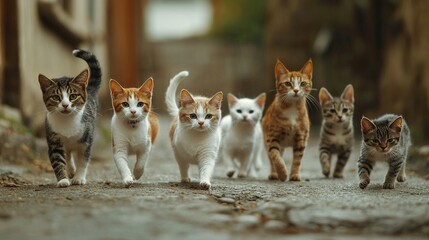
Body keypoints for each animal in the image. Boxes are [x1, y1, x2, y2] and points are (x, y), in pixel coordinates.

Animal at [36, 49, 100, 188]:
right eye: (56, 97)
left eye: (73, 96)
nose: (65, 105)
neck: (67, 122)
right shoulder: (54, 139)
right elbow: (58, 161)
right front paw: (63, 180)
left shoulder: (87, 139)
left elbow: (83, 159)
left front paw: (79, 178)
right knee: (68, 153)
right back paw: (70, 171)